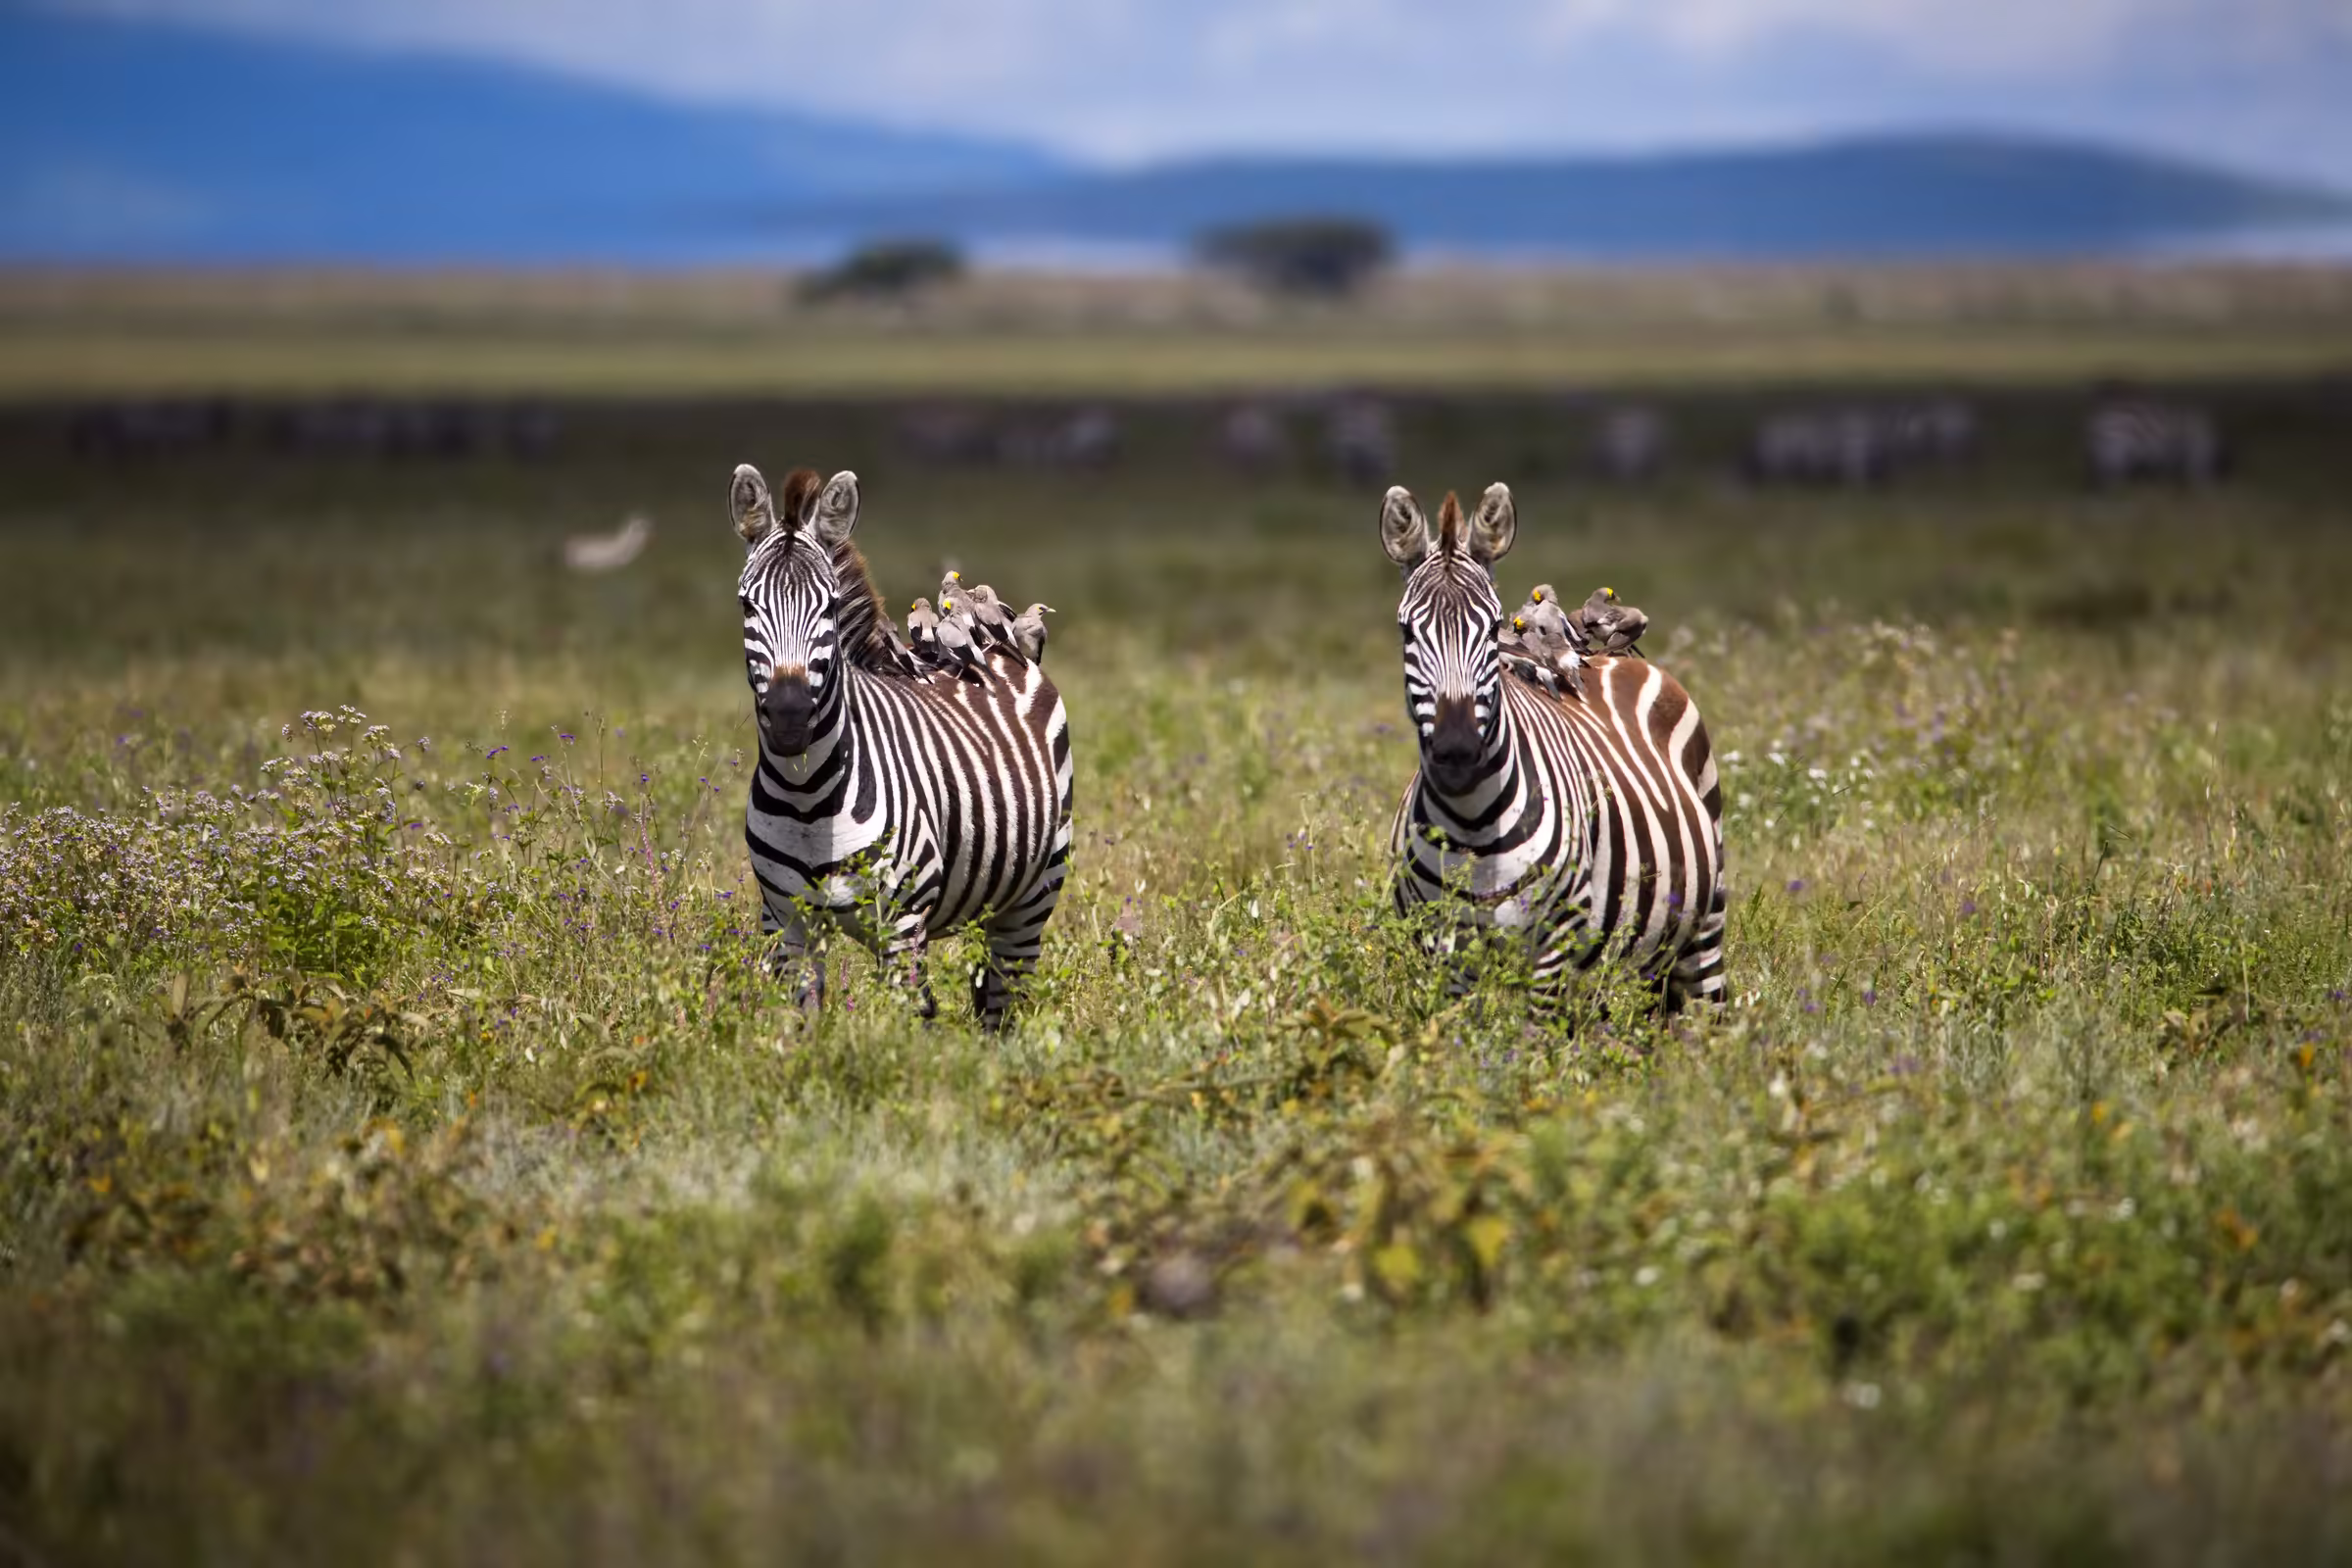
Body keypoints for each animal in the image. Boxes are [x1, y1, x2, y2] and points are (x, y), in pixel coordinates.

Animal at [732, 462, 1075, 1028]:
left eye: (828, 605)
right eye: (745, 604)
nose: (788, 717)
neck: (808, 798)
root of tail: (998, 646)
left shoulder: (902, 925)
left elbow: (905, 1037)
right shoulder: (785, 925)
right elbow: (801, 1032)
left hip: (1032, 896)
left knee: (1003, 1008)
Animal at [1380, 482, 1726, 1013]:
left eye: (1491, 626)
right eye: (1406, 631)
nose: (1457, 752)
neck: (1472, 822)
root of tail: (1608, 659)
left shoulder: (1553, 948)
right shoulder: (1446, 953)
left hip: (1705, 925)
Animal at [2086, 400, 2226, 487]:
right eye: (2211, 459)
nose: (2209, 485)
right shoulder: (2171, 449)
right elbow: (2168, 466)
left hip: (2106, 448)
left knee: (2104, 471)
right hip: (2114, 448)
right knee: (2109, 472)